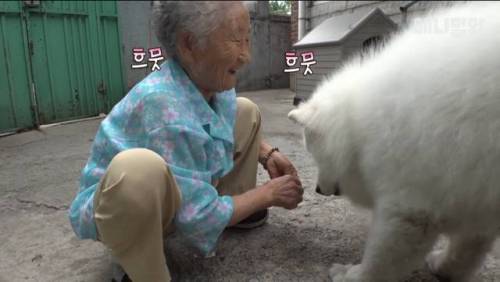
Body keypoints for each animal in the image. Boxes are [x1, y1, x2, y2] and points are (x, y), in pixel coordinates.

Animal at [288, 2, 500, 282]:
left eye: (314, 154)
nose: (318, 190)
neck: (357, 121)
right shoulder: (470, 197)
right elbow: (469, 246)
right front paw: (444, 268)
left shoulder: (410, 208)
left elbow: (380, 262)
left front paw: (350, 275)